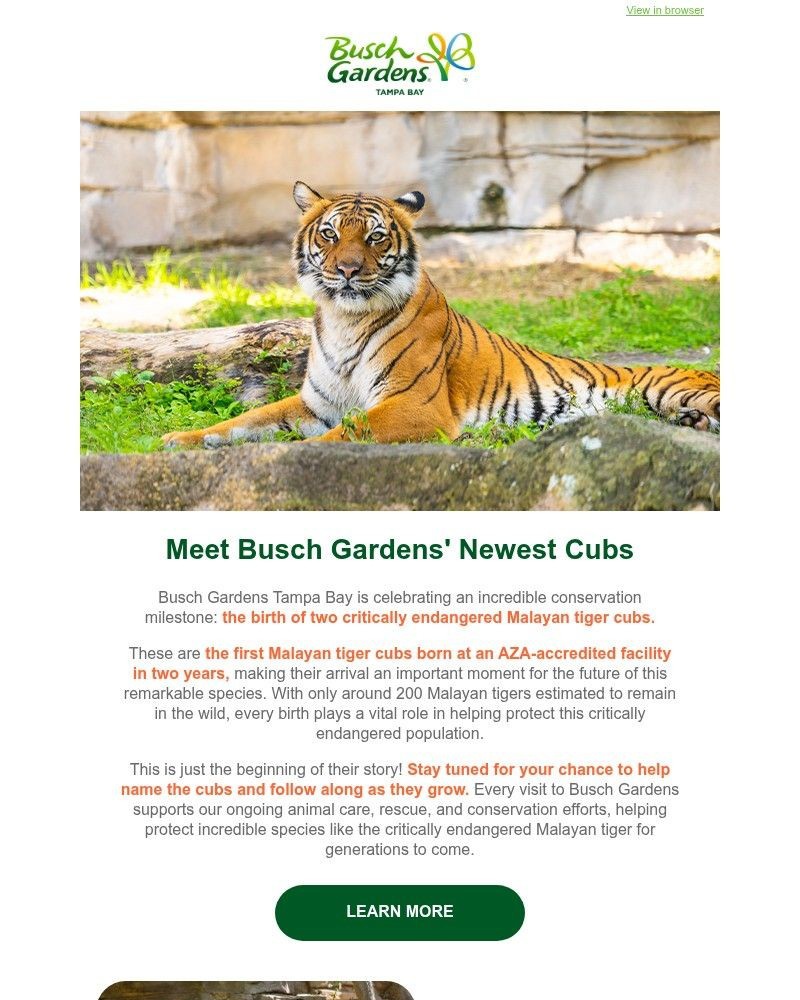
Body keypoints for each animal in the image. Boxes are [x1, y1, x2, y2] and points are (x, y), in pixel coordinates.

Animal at [162, 181, 720, 449]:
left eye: (375, 237)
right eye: (330, 233)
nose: (346, 270)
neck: (345, 321)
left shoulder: (413, 406)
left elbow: (348, 434)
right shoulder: (314, 404)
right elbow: (244, 419)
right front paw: (179, 441)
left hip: (677, 388)